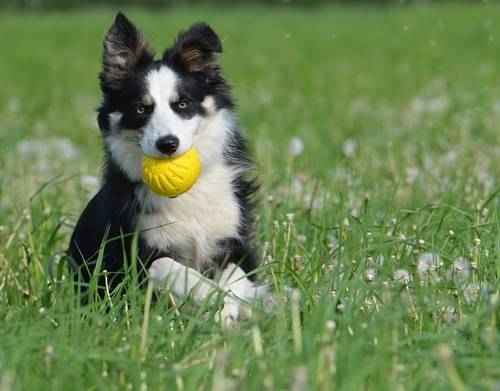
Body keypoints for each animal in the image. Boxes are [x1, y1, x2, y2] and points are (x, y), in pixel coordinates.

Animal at [68, 12, 270, 324]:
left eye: (182, 104)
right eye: (141, 109)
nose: (168, 144)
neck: (187, 194)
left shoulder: (234, 242)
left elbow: (235, 276)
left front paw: (236, 306)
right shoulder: (134, 257)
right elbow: (169, 267)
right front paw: (212, 297)